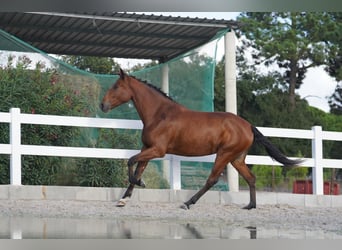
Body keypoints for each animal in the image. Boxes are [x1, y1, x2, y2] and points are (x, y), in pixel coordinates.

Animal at [99, 68, 302, 209]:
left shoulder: (158, 150)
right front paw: (124, 199)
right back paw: (250, 206)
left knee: (212, 180)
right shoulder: (147, 148)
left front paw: (139, 184)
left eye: (116, 86)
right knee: (251, 178)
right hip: (236, 159)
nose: (102, 105)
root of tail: (247, 126)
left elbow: (130, 161)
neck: (160, 114)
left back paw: (188, 203)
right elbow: (138, 167)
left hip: (224, 155)